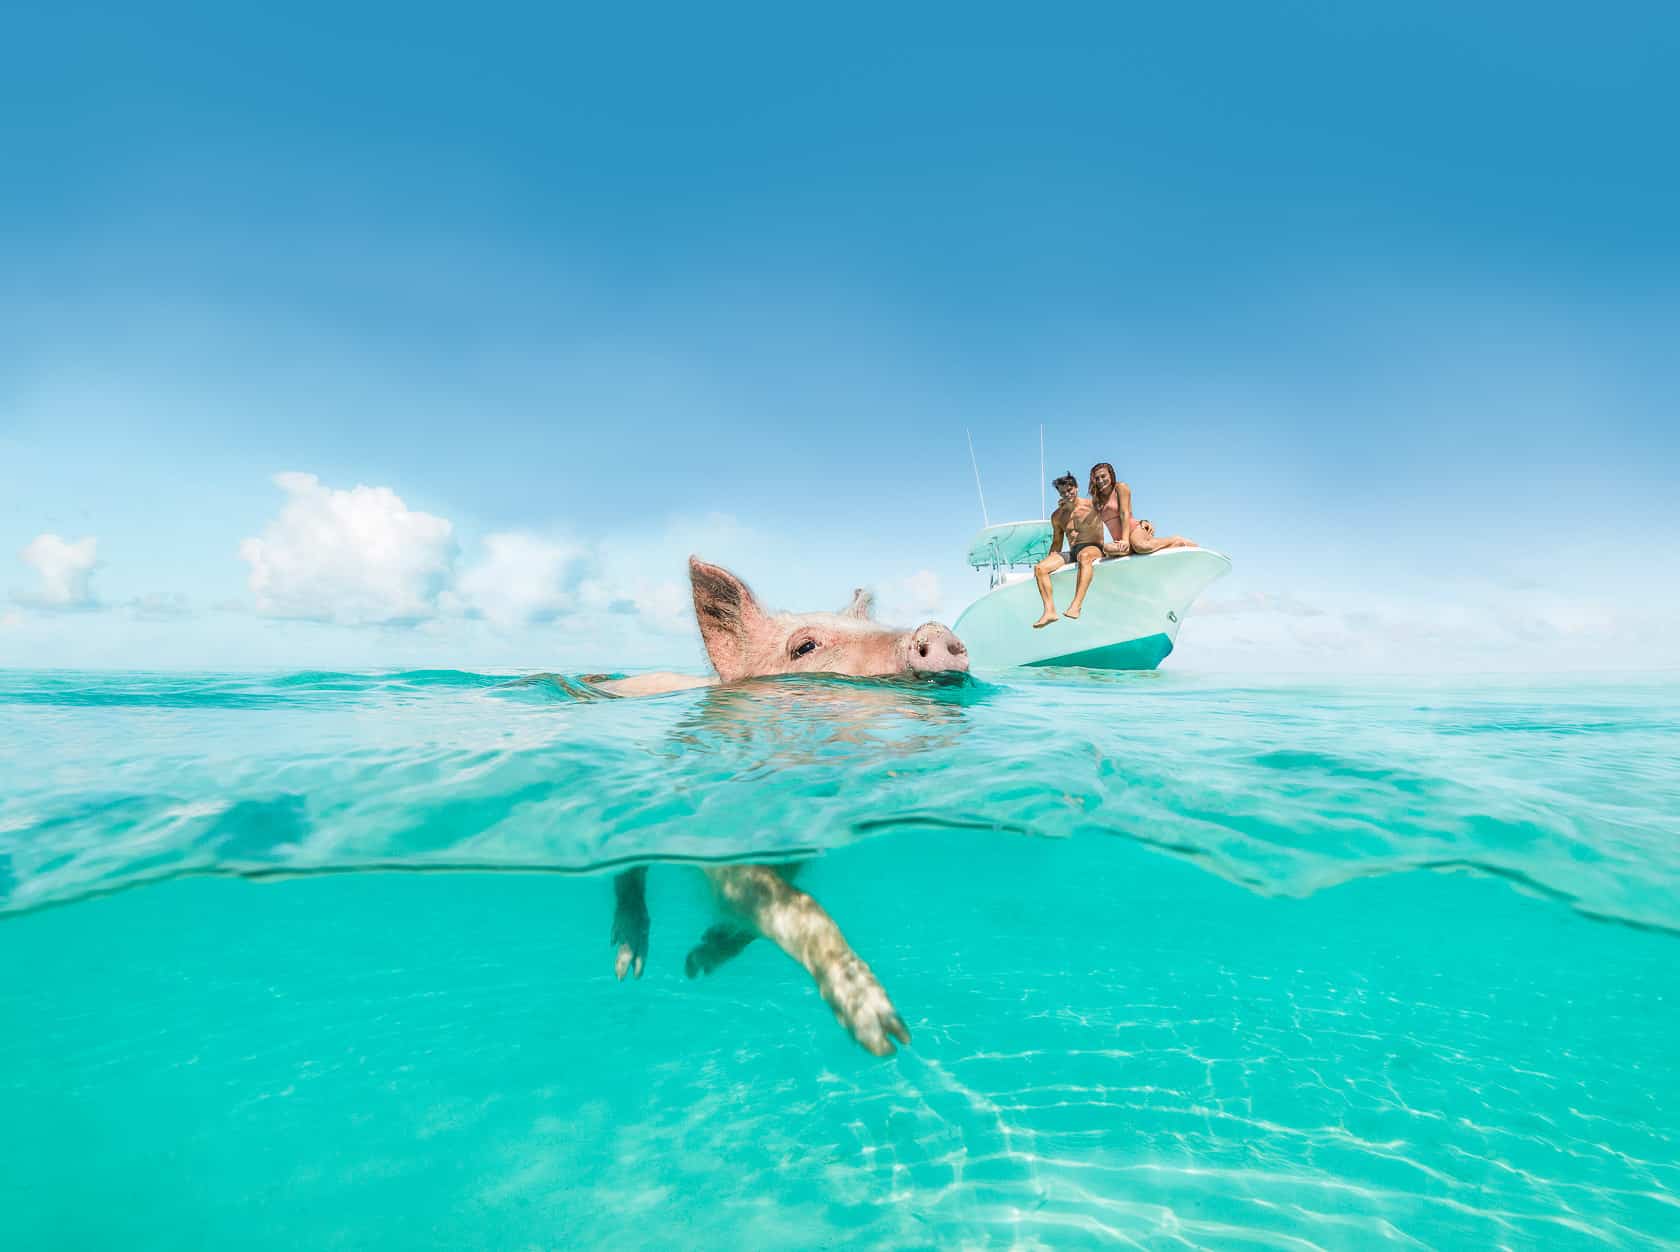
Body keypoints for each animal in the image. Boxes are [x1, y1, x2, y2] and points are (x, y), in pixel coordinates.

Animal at [601, 557, 968, 1056]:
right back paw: (628, 966)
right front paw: (886, 1035)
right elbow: (799, 907)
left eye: (873, 626)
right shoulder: (719, 842)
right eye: (805, 647)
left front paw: (699, 961)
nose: (934, 629)